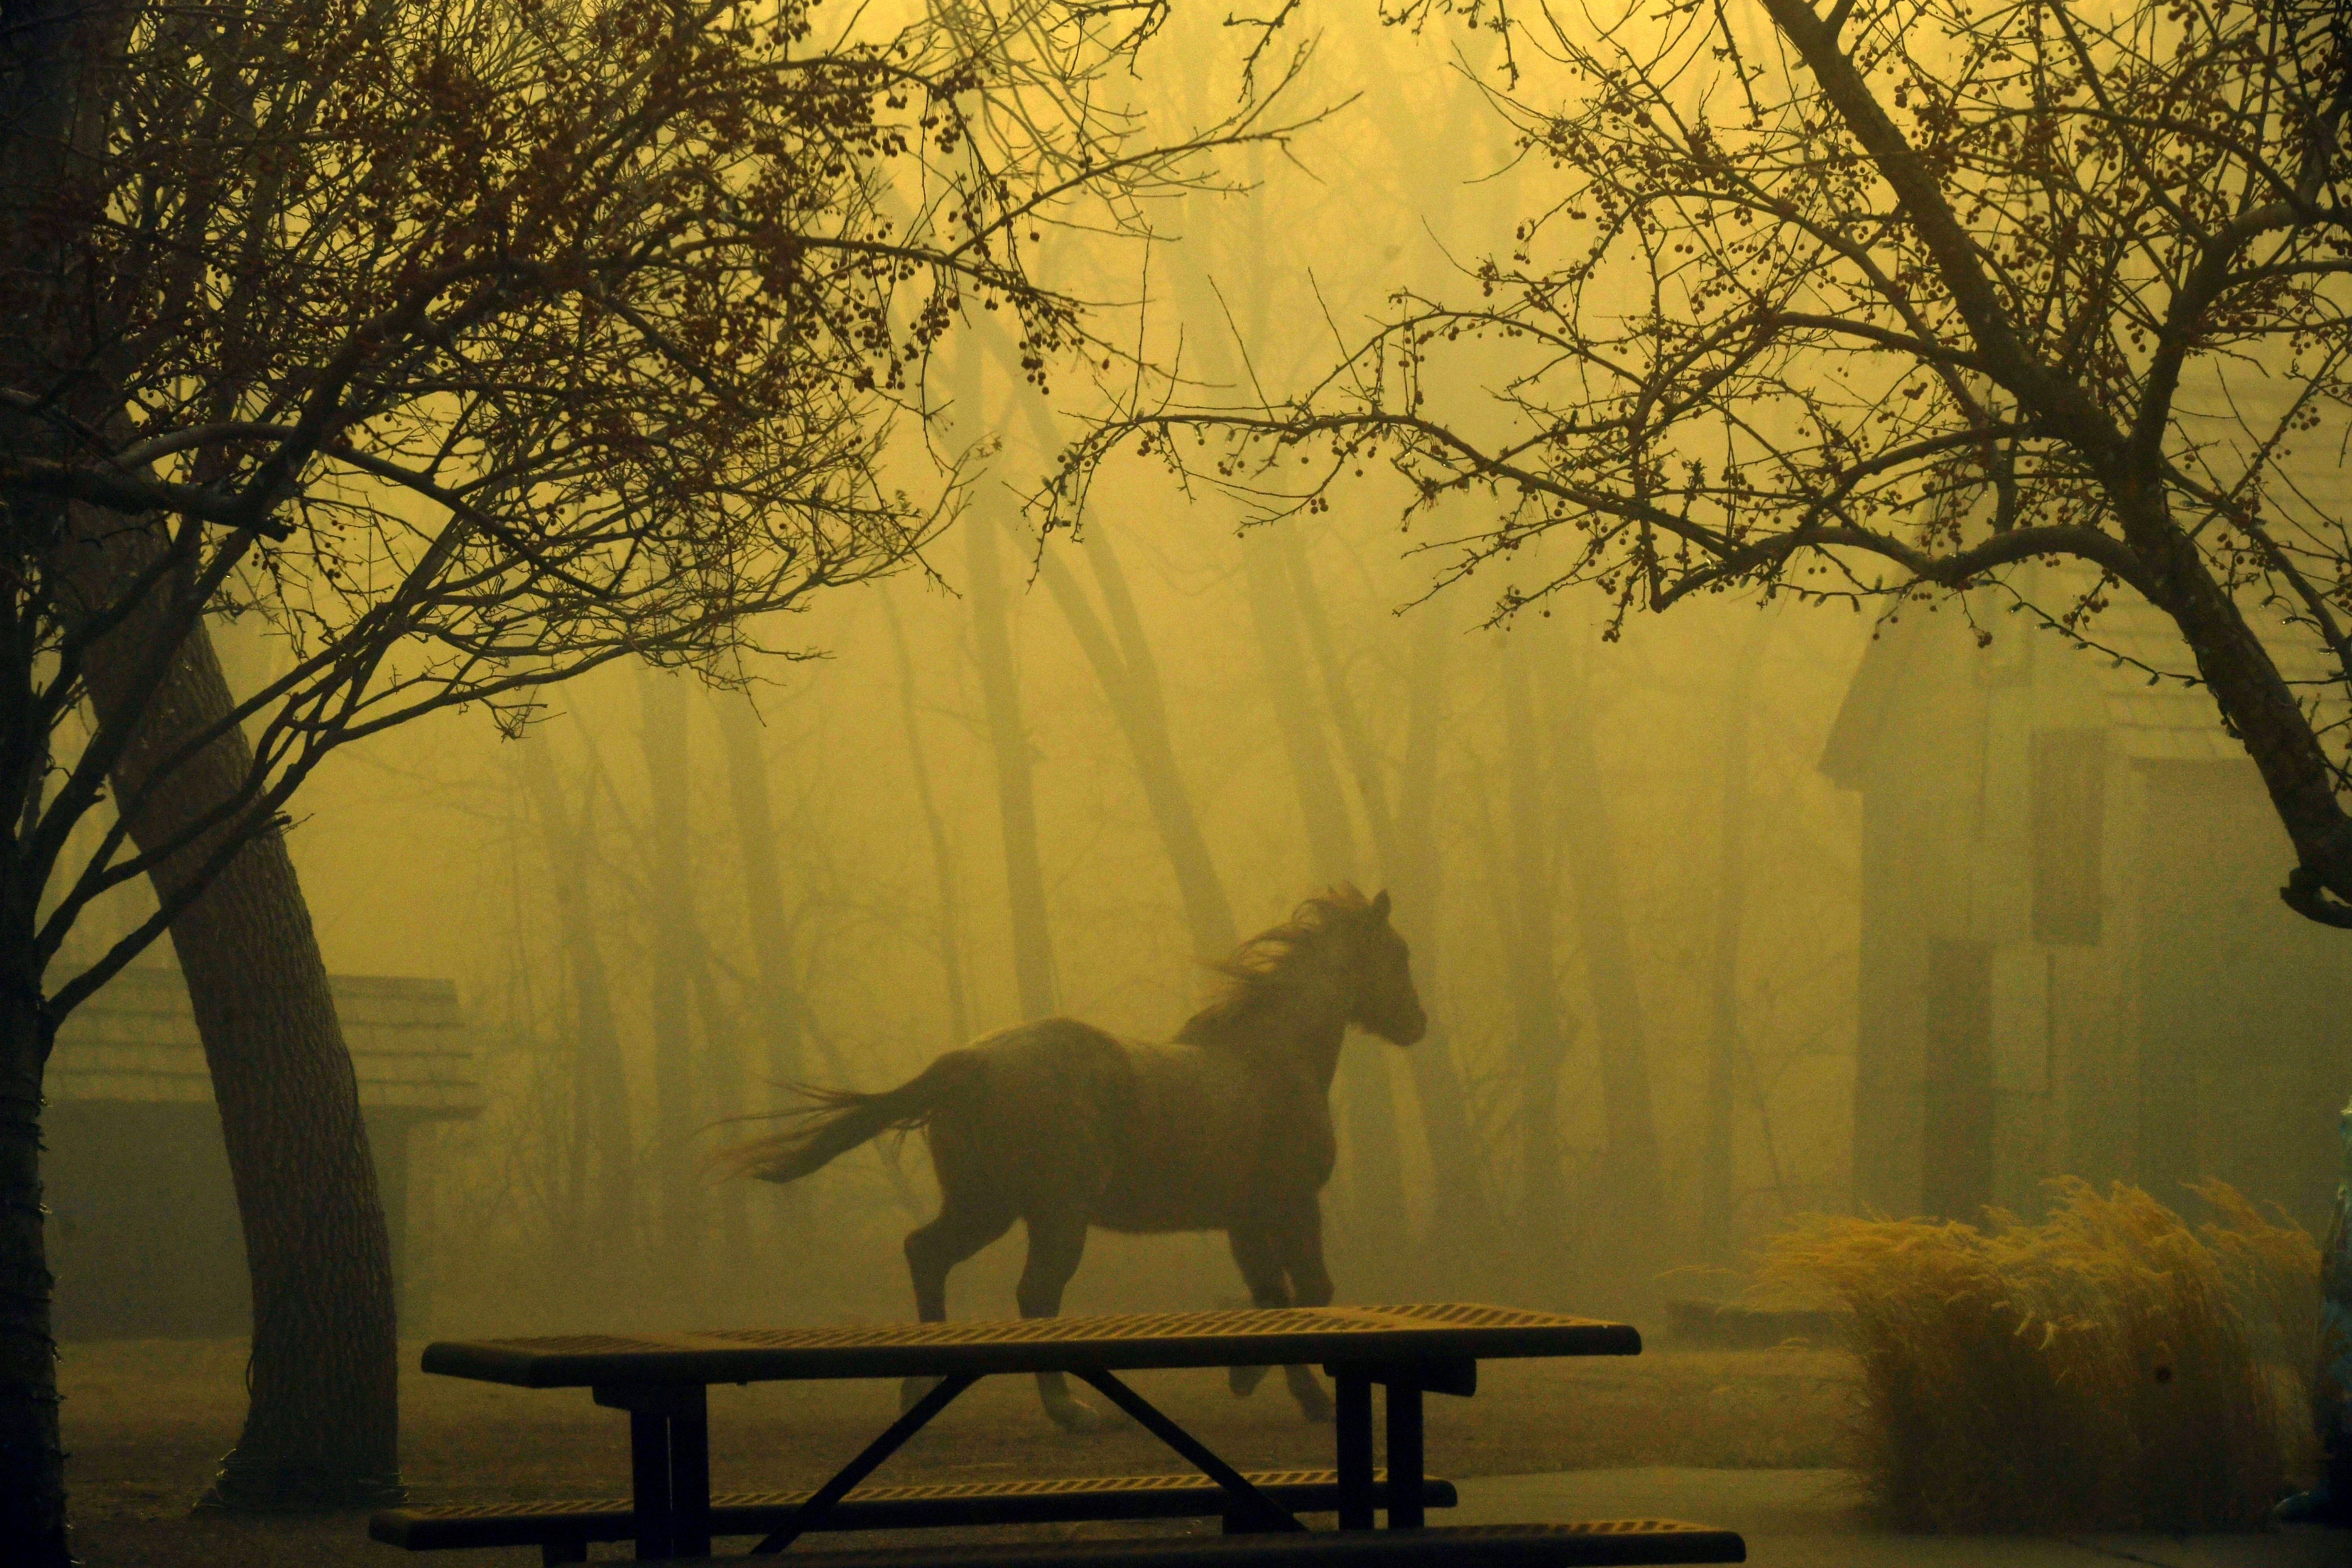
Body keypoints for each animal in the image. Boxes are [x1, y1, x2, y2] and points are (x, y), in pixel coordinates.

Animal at [715, 884, 1420, 1438]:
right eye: (1399, 954)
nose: (1417, 1023)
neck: (1274, 1058)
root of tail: (972, 1062)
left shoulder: (1245, 1221)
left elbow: (1273, 1296)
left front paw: (1273, 1387)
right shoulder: (1293, 1206)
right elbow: (1310, 1292)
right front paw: (1288, 1392)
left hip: (986, 1207)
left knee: (927, 1254)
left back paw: (920, 1386)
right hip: (1055, 1217)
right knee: (1035, 1295)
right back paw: (1069, 1410)